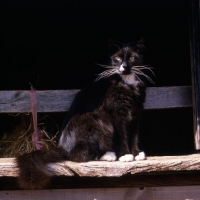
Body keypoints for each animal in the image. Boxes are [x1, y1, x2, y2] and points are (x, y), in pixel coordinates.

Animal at [16, 37, 153, 189]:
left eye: (132, 58)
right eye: (117, 58)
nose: (124, 66)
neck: (127, 82)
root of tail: (62, 147)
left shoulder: (135, 113)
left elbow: (134, 135)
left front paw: (137, 153)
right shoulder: (116, 114)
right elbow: (122, 135)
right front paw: (125, 155)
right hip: (98, 119)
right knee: (77, 156)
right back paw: (109, 155)